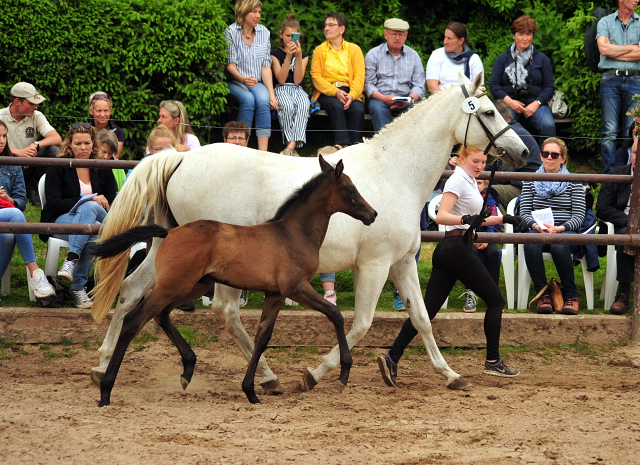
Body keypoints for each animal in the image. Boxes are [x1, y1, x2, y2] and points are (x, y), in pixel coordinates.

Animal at [92, 74, 528, 394]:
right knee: (223, 312)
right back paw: (264, 377)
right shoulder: (373, 265)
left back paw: (102, 364)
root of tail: (180, 158)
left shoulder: (402, 262)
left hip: (169, 248)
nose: (523, 152)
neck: (394, 172)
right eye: (488, 111)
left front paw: (450, 374)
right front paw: (316, 374)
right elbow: (361, 323)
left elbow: (421, 318)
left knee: (132, 290)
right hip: (213, 268)